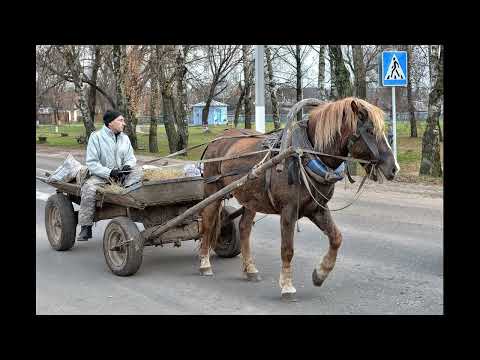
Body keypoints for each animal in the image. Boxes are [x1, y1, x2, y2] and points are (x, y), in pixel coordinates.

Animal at [197, 97, 400, 300]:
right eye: (370, 131)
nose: (394, 168)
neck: (304, 155)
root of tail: (219, 137)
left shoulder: (318, 208)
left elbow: (336, 238)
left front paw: (320, 274)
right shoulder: (289, 211)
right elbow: (287, 249)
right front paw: (287, 286)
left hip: (251, 199)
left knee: (244, 228)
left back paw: (250, 269)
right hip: (213, 191)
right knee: (207, 223)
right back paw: (205, 264)